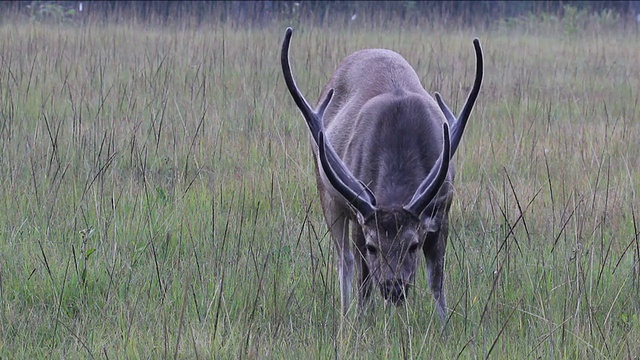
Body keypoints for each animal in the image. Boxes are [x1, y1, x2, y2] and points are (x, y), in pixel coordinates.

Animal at [282, 26, 484, 322]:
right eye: (373, 246)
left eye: (413, 245)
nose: (393, 288)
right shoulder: (359, 219)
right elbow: (364, 287)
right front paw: (361, 323)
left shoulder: (443, 209)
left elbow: (437, 282)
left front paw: (444, 324)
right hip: (326, 191)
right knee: (344, 261)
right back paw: (344, 316)